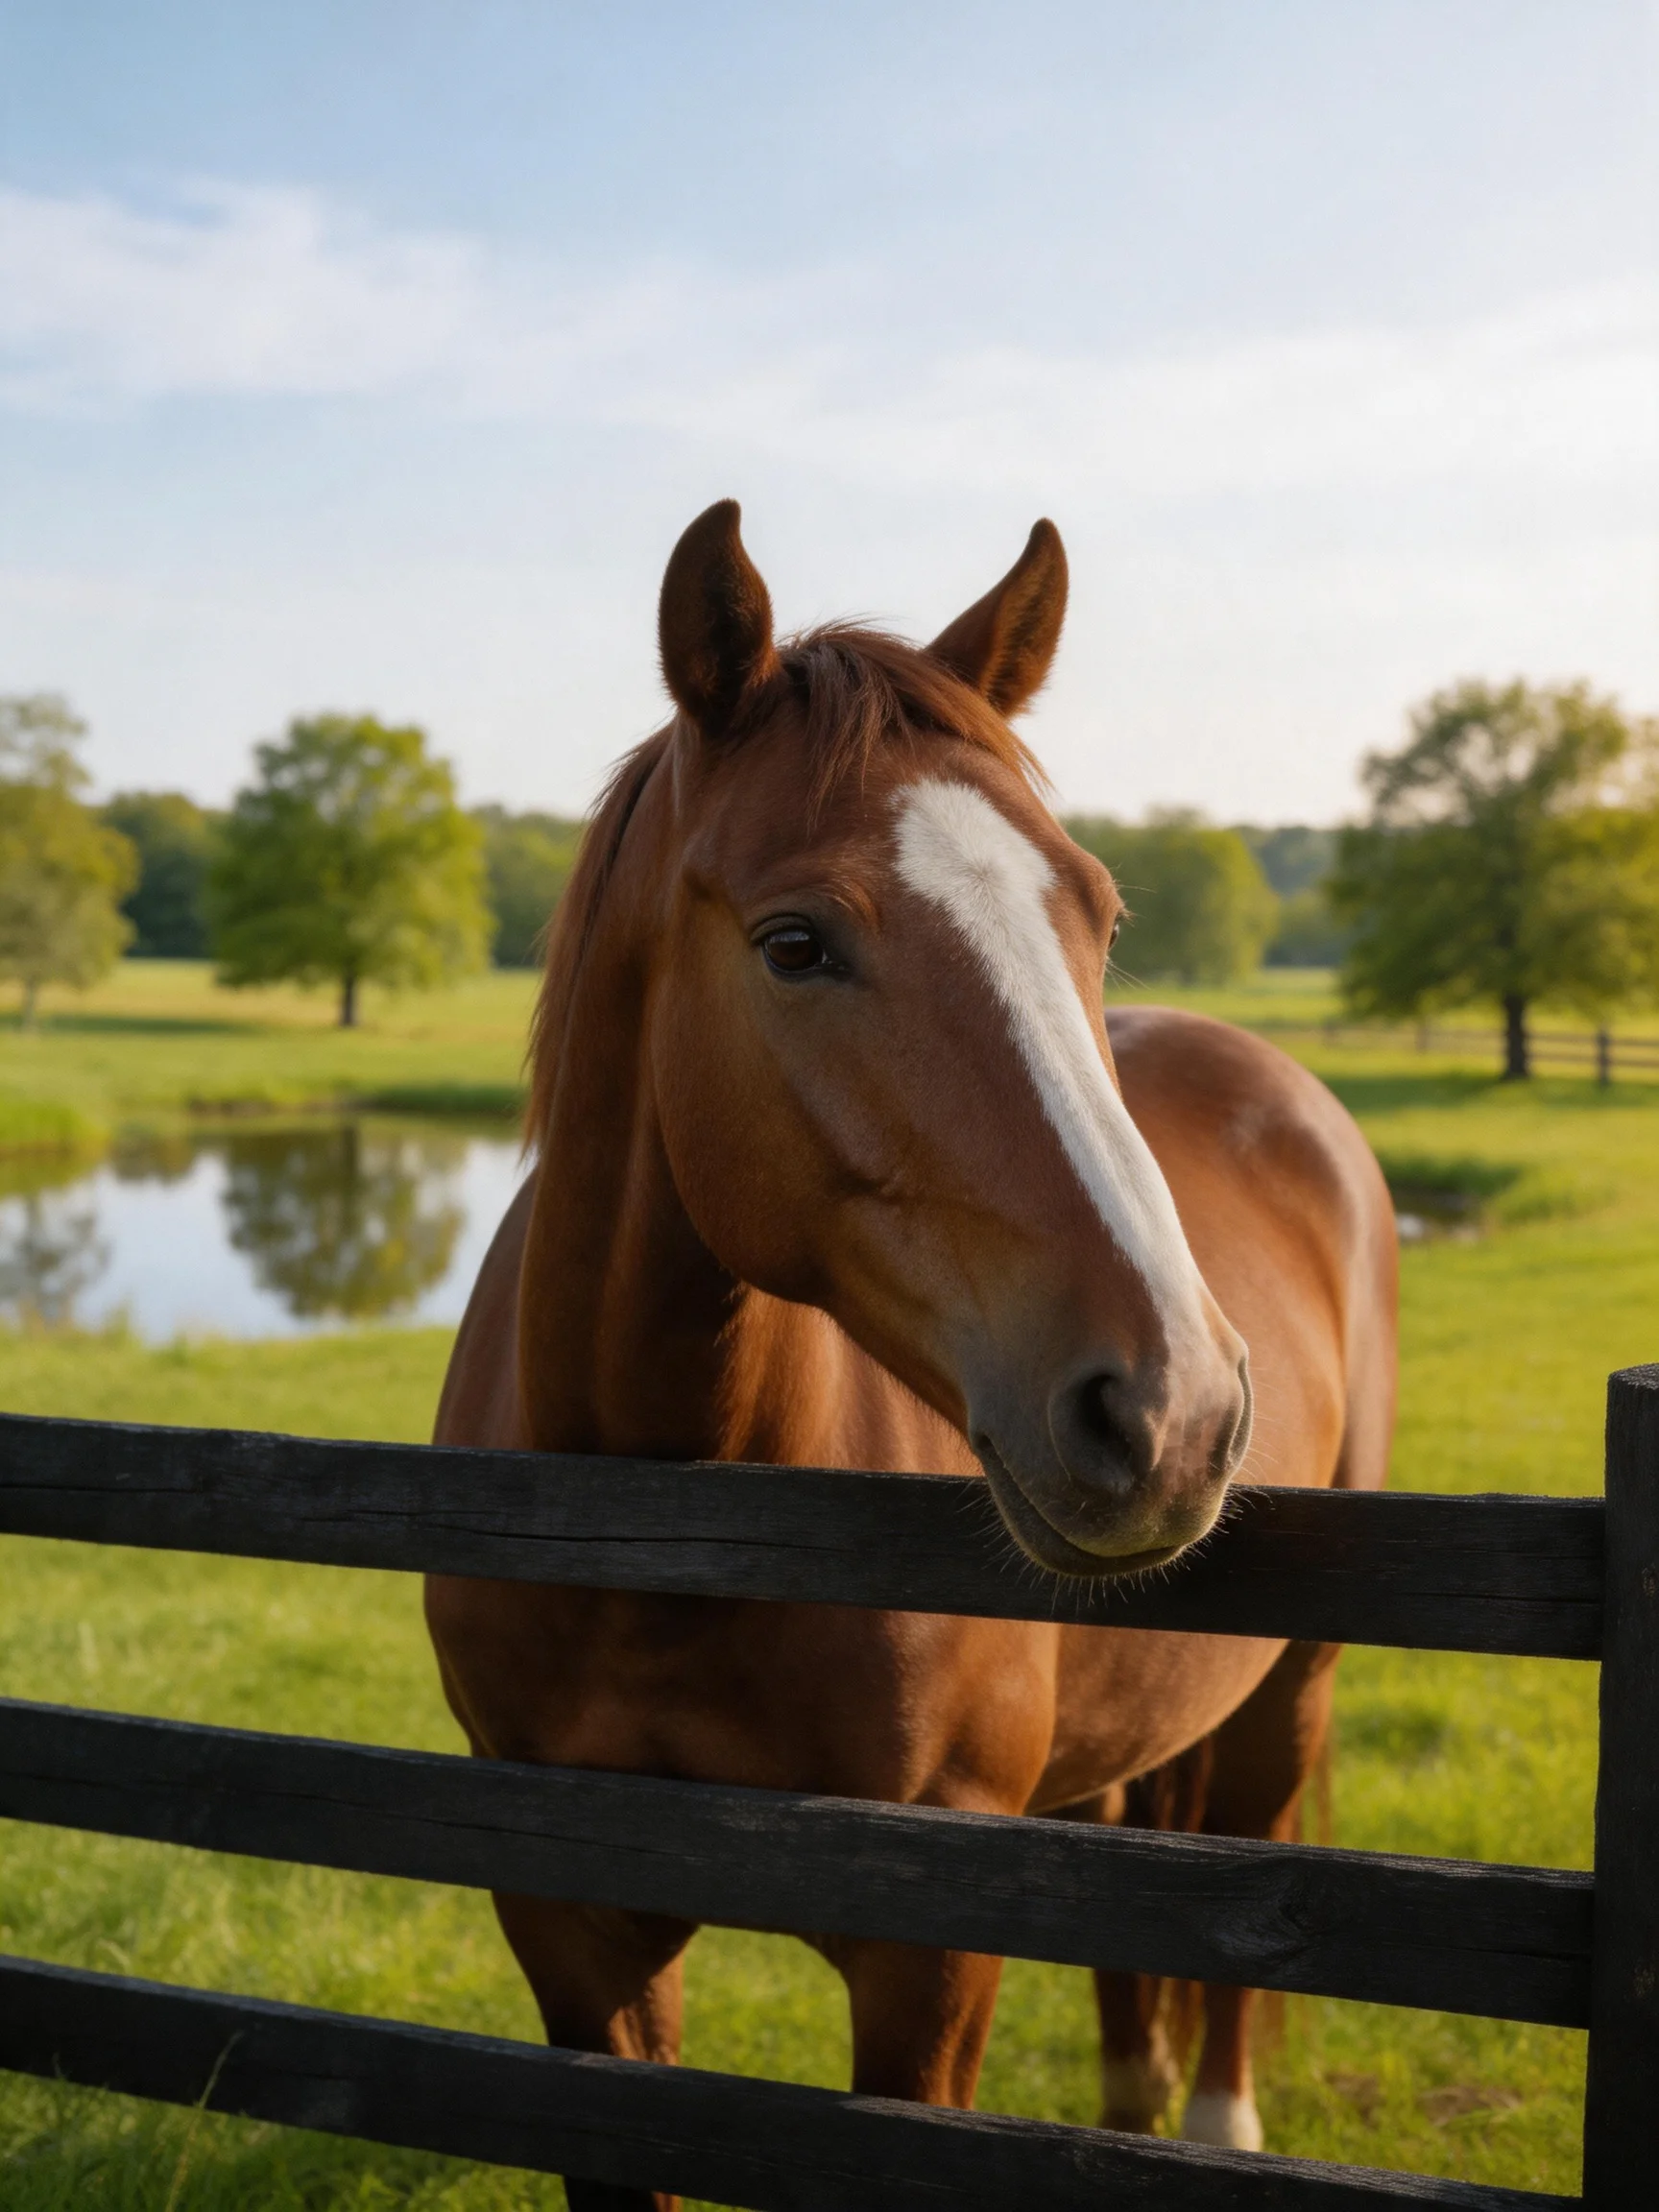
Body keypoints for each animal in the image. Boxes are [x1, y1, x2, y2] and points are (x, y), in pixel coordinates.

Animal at [427, 500, 1397, 2212]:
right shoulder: (571, 1930)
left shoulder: (926, 1950)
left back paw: (1215, 2122)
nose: (1173, 1407)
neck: (666, 1535)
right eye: (795, 943)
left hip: (1291, 1688)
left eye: (1096, 915)